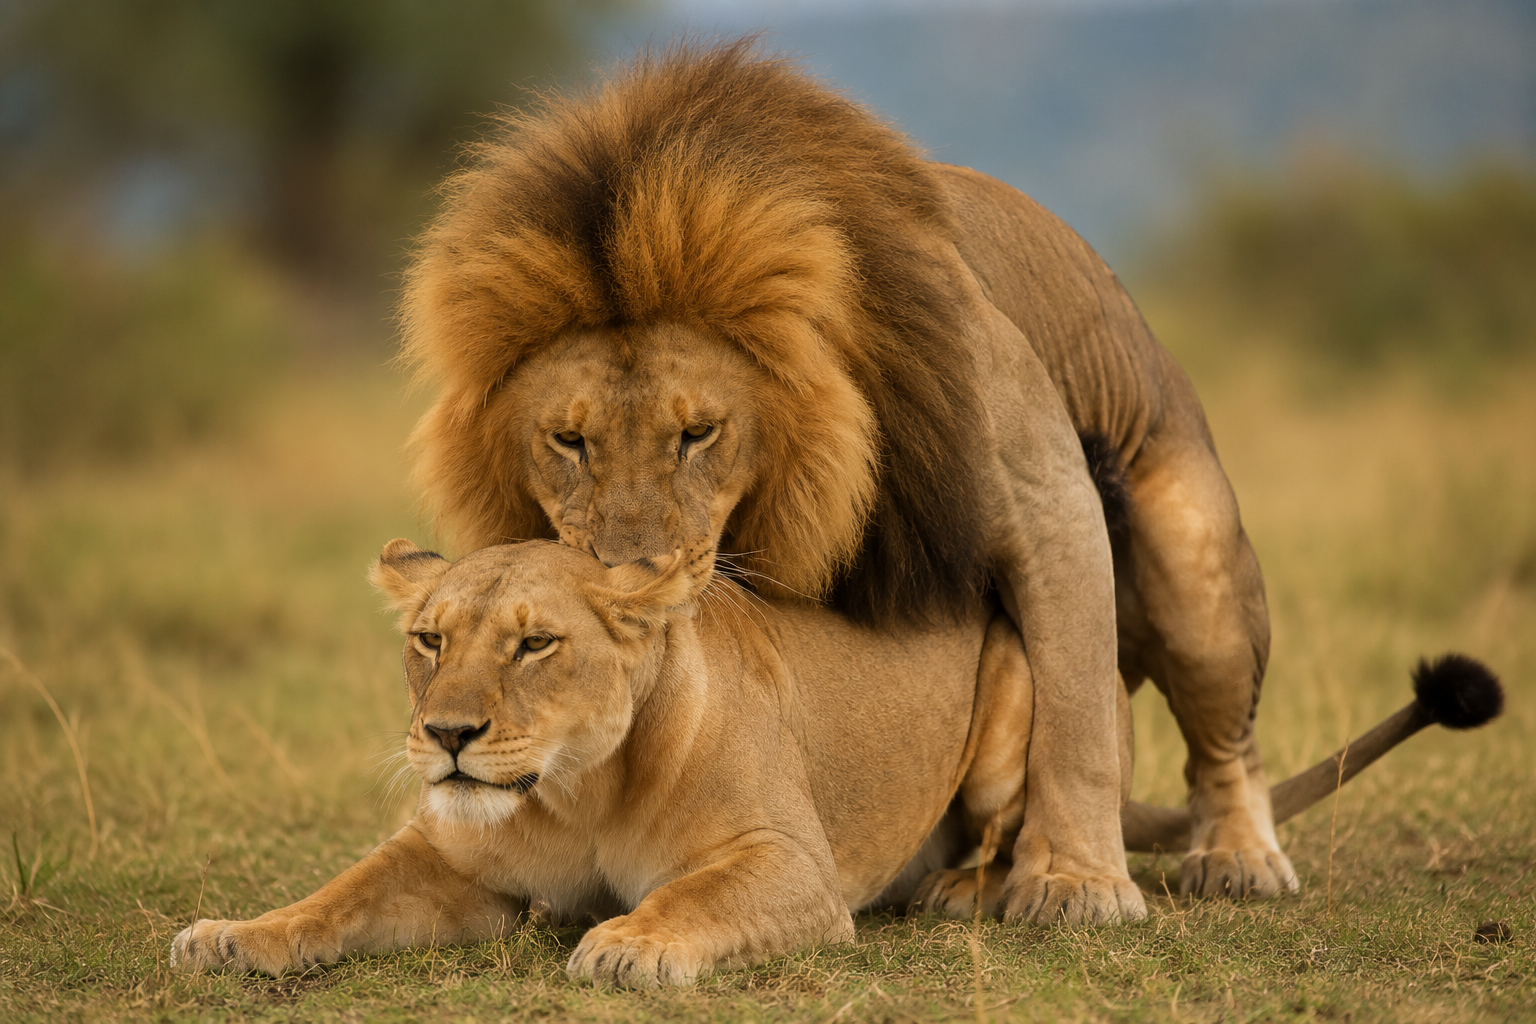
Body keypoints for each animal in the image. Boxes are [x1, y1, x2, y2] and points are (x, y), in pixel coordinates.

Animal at [395, 39, 1423, 918]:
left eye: (699, 434)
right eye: (568, 441)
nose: (628, 581)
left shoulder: (1049, 499)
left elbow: (1079, 719)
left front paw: (1078, 885)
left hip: (1195, 565)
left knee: (1223, 745)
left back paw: (1235, 858)